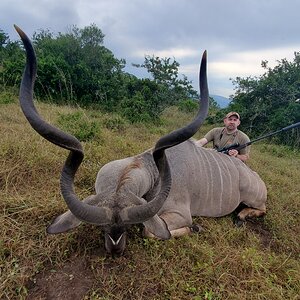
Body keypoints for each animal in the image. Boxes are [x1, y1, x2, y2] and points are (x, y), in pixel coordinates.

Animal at [15, 26, 266, 255]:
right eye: (103, 228)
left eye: (127, 226)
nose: (115, 250)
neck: (151, 170)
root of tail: (255, 178)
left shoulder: (179, 214)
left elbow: (151, 230)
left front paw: (195, 228)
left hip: (253, 198)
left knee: (260, 208)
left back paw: (241, 216)